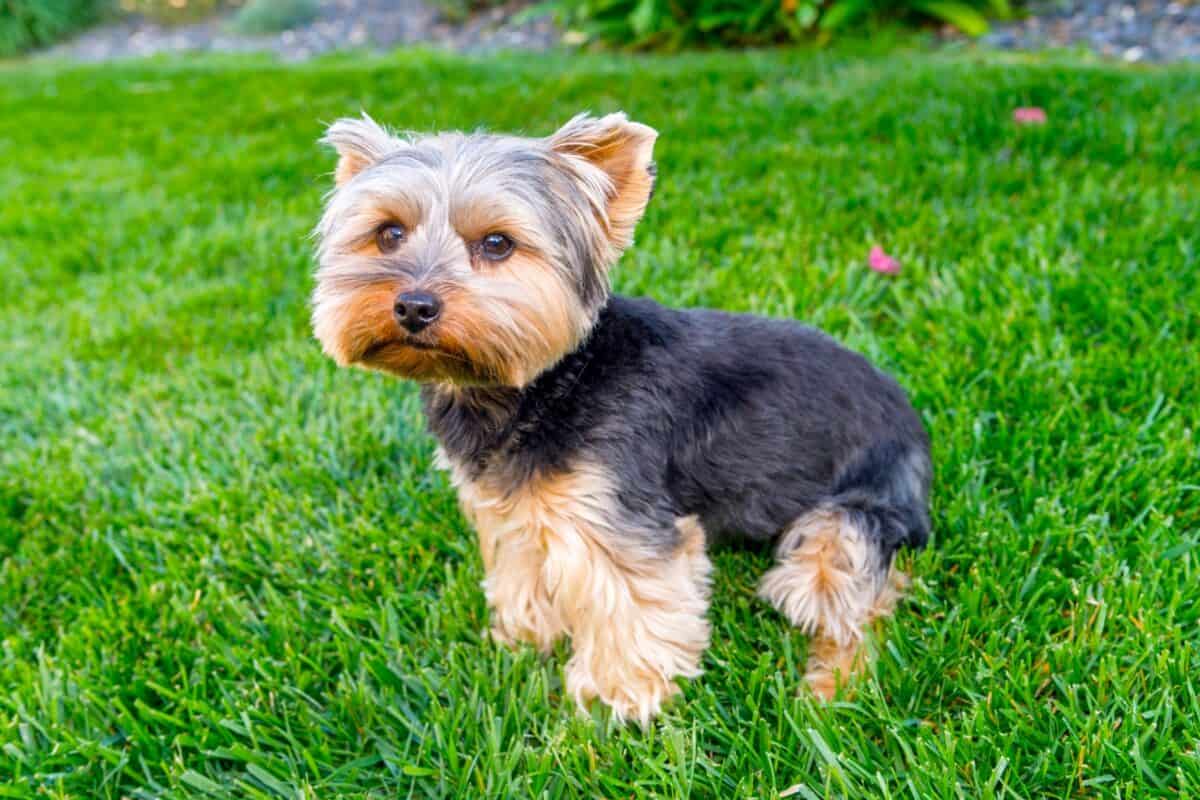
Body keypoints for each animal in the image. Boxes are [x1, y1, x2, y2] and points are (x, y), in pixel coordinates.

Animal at [309, 109, 926, 724]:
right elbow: (522, 571)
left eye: (497, 244)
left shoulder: (615, 513)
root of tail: (915, 426)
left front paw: (618, 699)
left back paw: (831, 689)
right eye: (388, 233)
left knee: (855, 597)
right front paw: (523, 641)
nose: (414, 305)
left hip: (854, 518)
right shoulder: (514, 506)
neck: (549, 384)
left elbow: (630, 600)